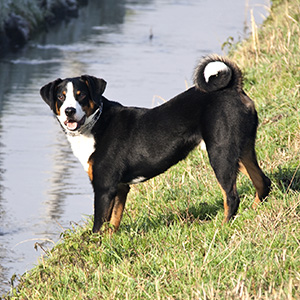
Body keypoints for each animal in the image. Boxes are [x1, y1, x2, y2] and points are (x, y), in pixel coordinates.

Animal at [39, 55, 272, 233]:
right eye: (61, 97)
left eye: (81, 96)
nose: (69, 111)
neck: (95, 125)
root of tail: (233, 87)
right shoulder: (120, 188)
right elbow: (113, 223)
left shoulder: (104, 188)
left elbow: (99, 226)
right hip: (242, 149)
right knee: (262, 182)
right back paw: (254, 212)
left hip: (221, 154)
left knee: (231, 197)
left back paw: (222, 228)